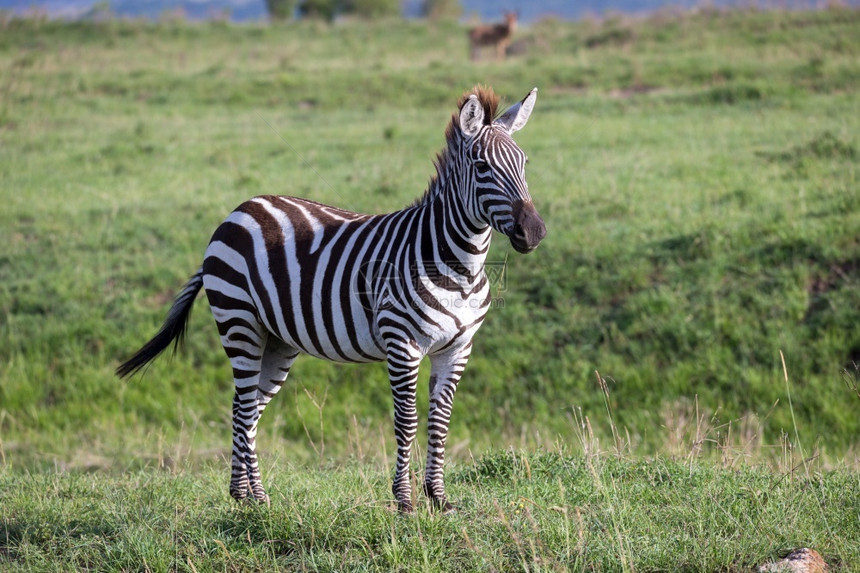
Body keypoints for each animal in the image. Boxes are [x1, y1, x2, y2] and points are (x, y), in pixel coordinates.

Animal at [116, 86, 544, 512]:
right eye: (481, 167)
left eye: (525, 163)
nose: (534, 231)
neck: (459, 268)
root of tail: (240, 208)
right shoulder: (402, 344)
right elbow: (406, 423)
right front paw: (404, 501)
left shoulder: (457, 349)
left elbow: (440, 424)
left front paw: (438, 499)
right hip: (239, 322)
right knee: (244, 407)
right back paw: (258, 497)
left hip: (277, 341)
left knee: (245, 408)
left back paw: (243, 495)